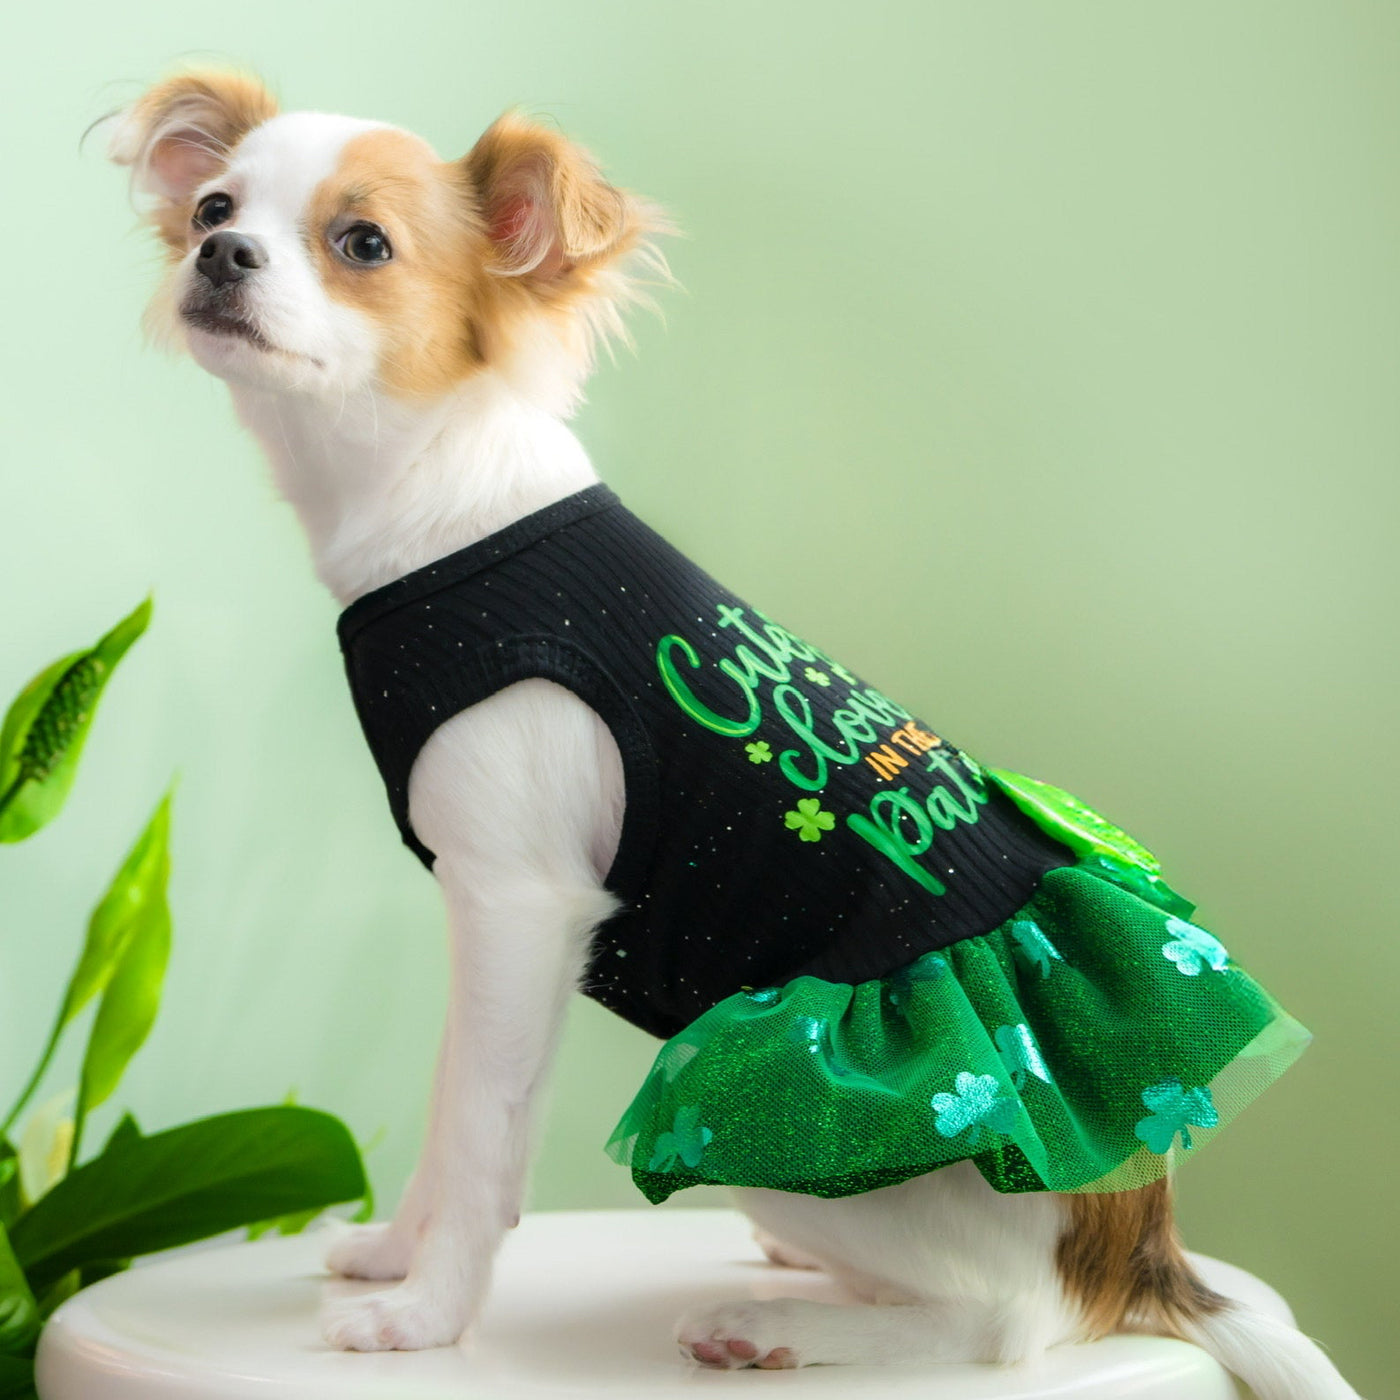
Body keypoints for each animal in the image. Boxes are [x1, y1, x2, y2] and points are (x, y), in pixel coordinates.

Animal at [104, 68, 1358, 1398]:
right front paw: (397, 1255)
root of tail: (1140, 1255)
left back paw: (780, 1323)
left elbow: (485, 1133)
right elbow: (451, 1111)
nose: (220, 252)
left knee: (1008, 1324)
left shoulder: (521, 906)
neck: (451, 515)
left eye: (362, 244)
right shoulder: (475, 911)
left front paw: (426, 1318)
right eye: (215, 207)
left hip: (792, 1150)